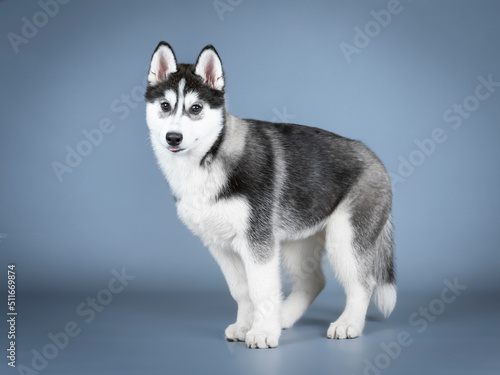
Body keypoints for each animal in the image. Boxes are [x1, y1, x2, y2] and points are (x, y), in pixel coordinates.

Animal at [144, 43, 394, 350]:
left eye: (196, 108)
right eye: (165, 106)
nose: (173, 137)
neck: (209, 158)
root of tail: (374, 157)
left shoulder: (257, 241)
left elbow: (261, 289)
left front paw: (263, 332)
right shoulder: (222, 246)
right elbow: (242, 290)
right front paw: (245, 325)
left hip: (345, 239)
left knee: (363, 283)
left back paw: (348, 324)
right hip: (296, 241)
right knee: (314, 282)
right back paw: (283, 316)